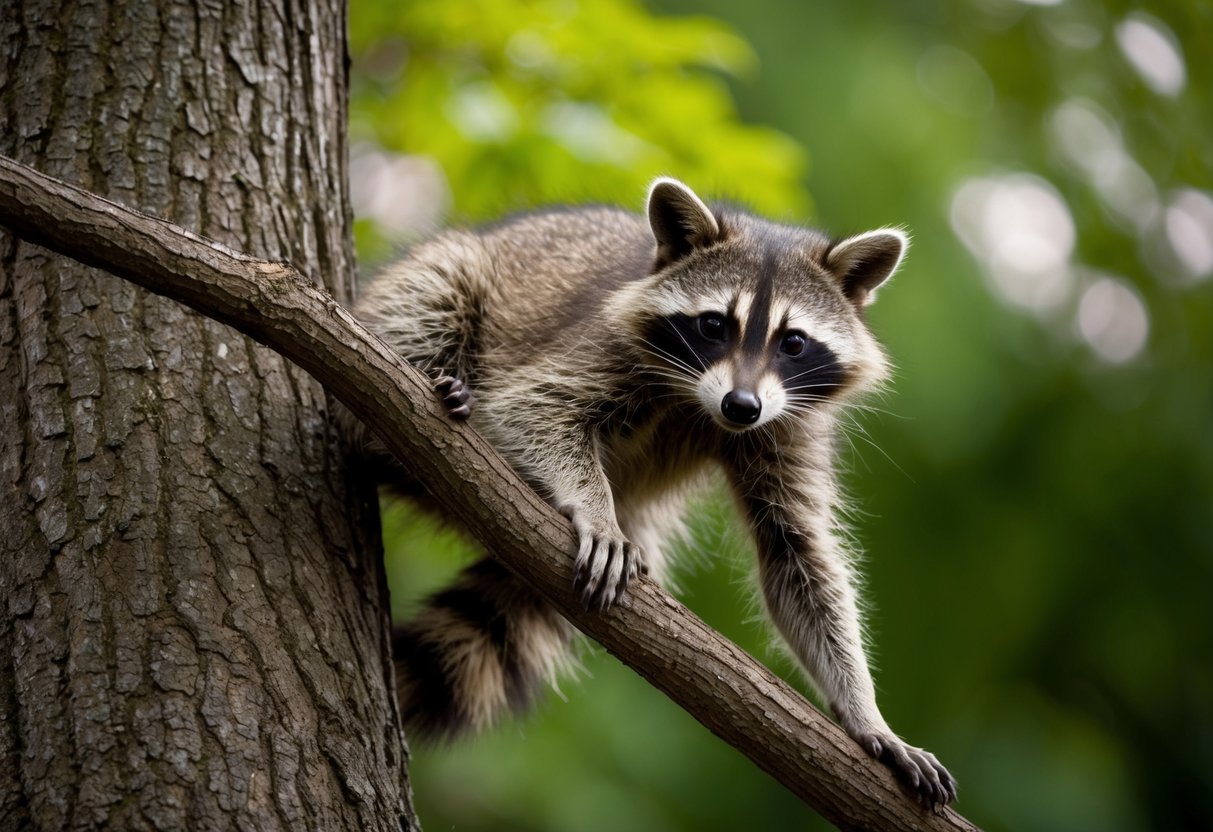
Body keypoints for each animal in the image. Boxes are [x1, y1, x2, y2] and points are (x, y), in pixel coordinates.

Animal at [353, 178, 956, 806]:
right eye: (714, 325)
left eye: (793, 342)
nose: (742, 406)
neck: (705, 406)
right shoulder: (605, 343)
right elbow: (532, 411)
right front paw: (595, 509)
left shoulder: (789, 425)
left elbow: (800, 554)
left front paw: (865, 713)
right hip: (450, 278)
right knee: (432, 295)